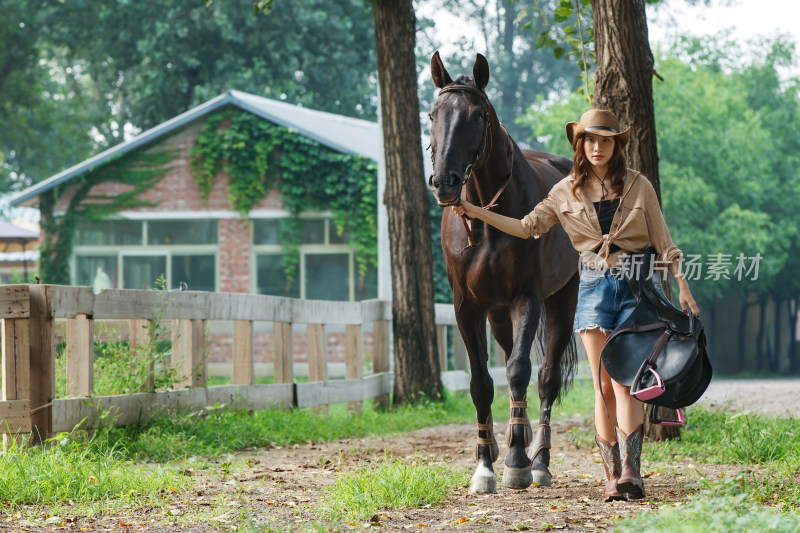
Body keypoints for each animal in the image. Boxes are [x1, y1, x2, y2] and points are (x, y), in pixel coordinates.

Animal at [428, 52, 580, 492]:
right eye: (433, 114)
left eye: (477, 116)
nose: (444, 183)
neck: (486, 221)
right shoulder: (468, 306)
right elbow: (481, 382)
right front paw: (484, 464)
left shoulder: (526, 298)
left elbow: (519, 371)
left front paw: (517, 464)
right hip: (497, 314)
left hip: (562, 298)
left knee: (544, 377)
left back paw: (539, 459)